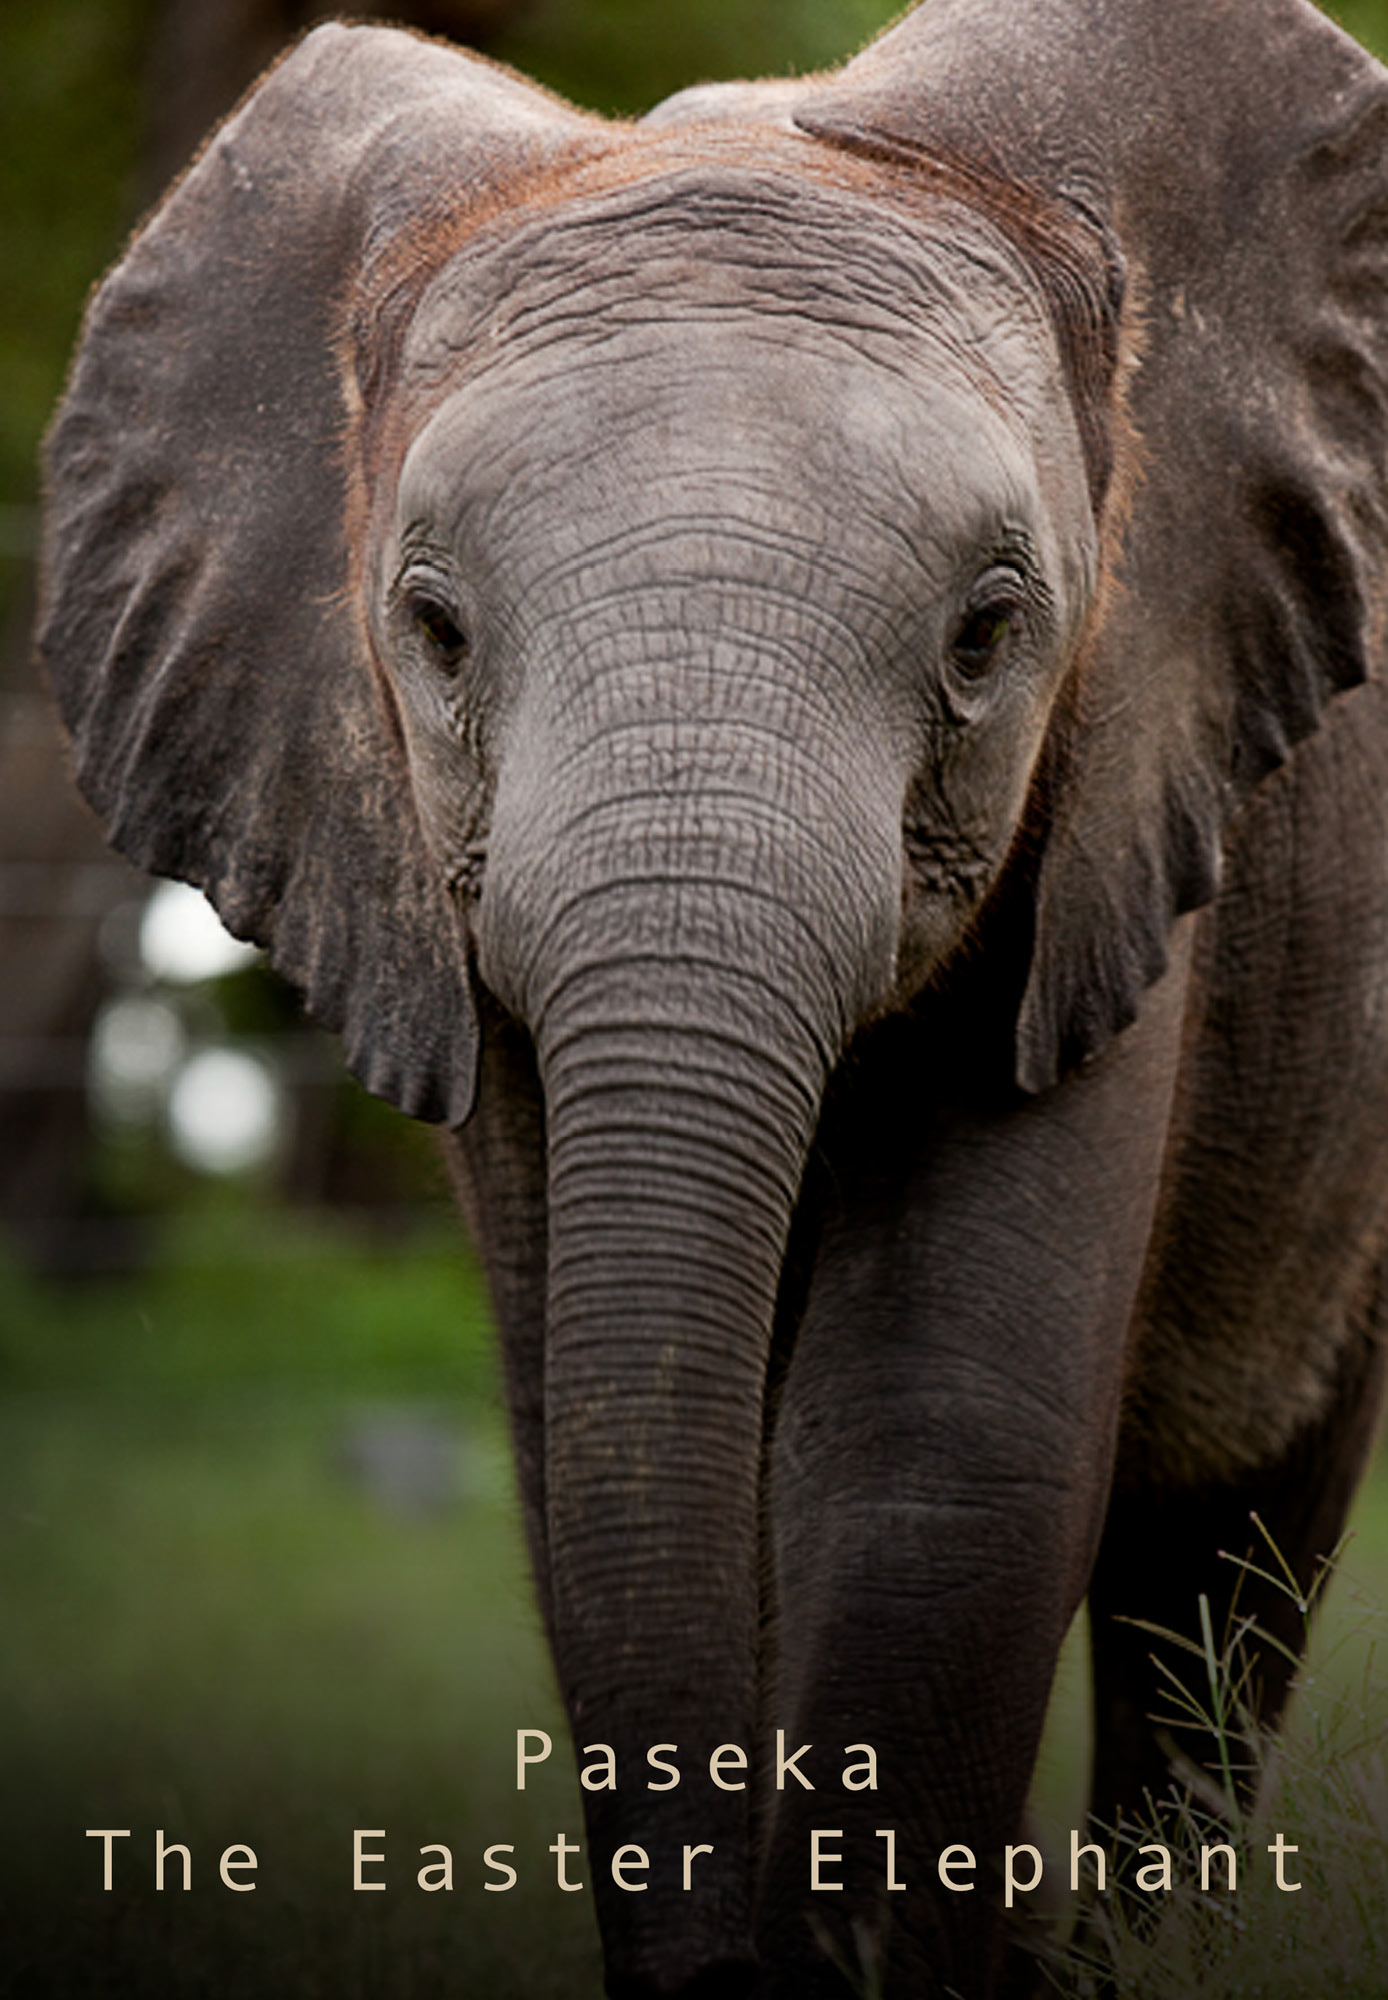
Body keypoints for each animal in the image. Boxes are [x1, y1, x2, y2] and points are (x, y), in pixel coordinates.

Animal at [36, 0, 1388, 1993]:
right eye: (433, 633)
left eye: (988, 637)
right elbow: (590, 1459)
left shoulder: (1128, 785)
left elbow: (935, 1451)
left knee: (1216, 1580)